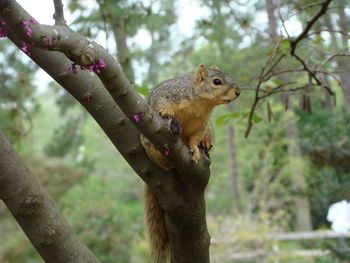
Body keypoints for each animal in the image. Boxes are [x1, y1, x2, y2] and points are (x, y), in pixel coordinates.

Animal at [139, 64, 241, 263]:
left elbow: (194, 138)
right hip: (149, 144)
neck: (201, 103)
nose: (238, 92)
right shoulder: (169, 94)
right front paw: (166, 112)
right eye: (217, 81)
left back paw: (205, 145)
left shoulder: (200, 124)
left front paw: (194, 149)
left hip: (208, 129)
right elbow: (161, 104)